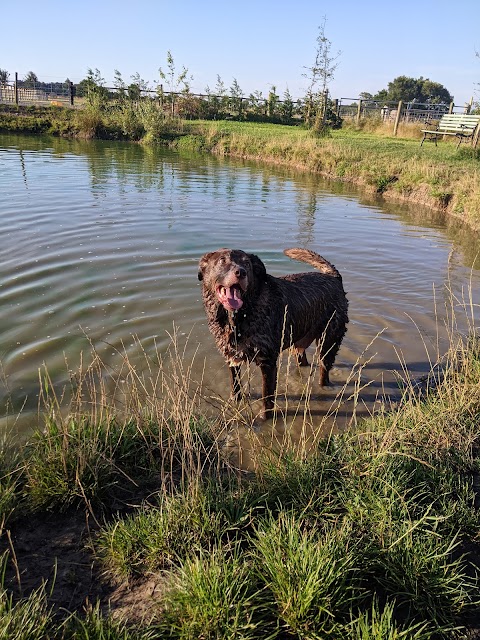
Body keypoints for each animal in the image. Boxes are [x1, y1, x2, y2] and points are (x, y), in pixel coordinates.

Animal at [197, 249, 346, 420]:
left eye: (247, 263)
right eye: (222, 260)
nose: (241, 272)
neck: (238, 318)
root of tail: (334, 277)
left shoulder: (267, 361)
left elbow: (267, 397)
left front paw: (265, 418)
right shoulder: (231, 356)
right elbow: (235, 386)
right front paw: (235, 401)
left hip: (328, 340)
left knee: (324, 369)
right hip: (298, 343)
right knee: (302, 360)